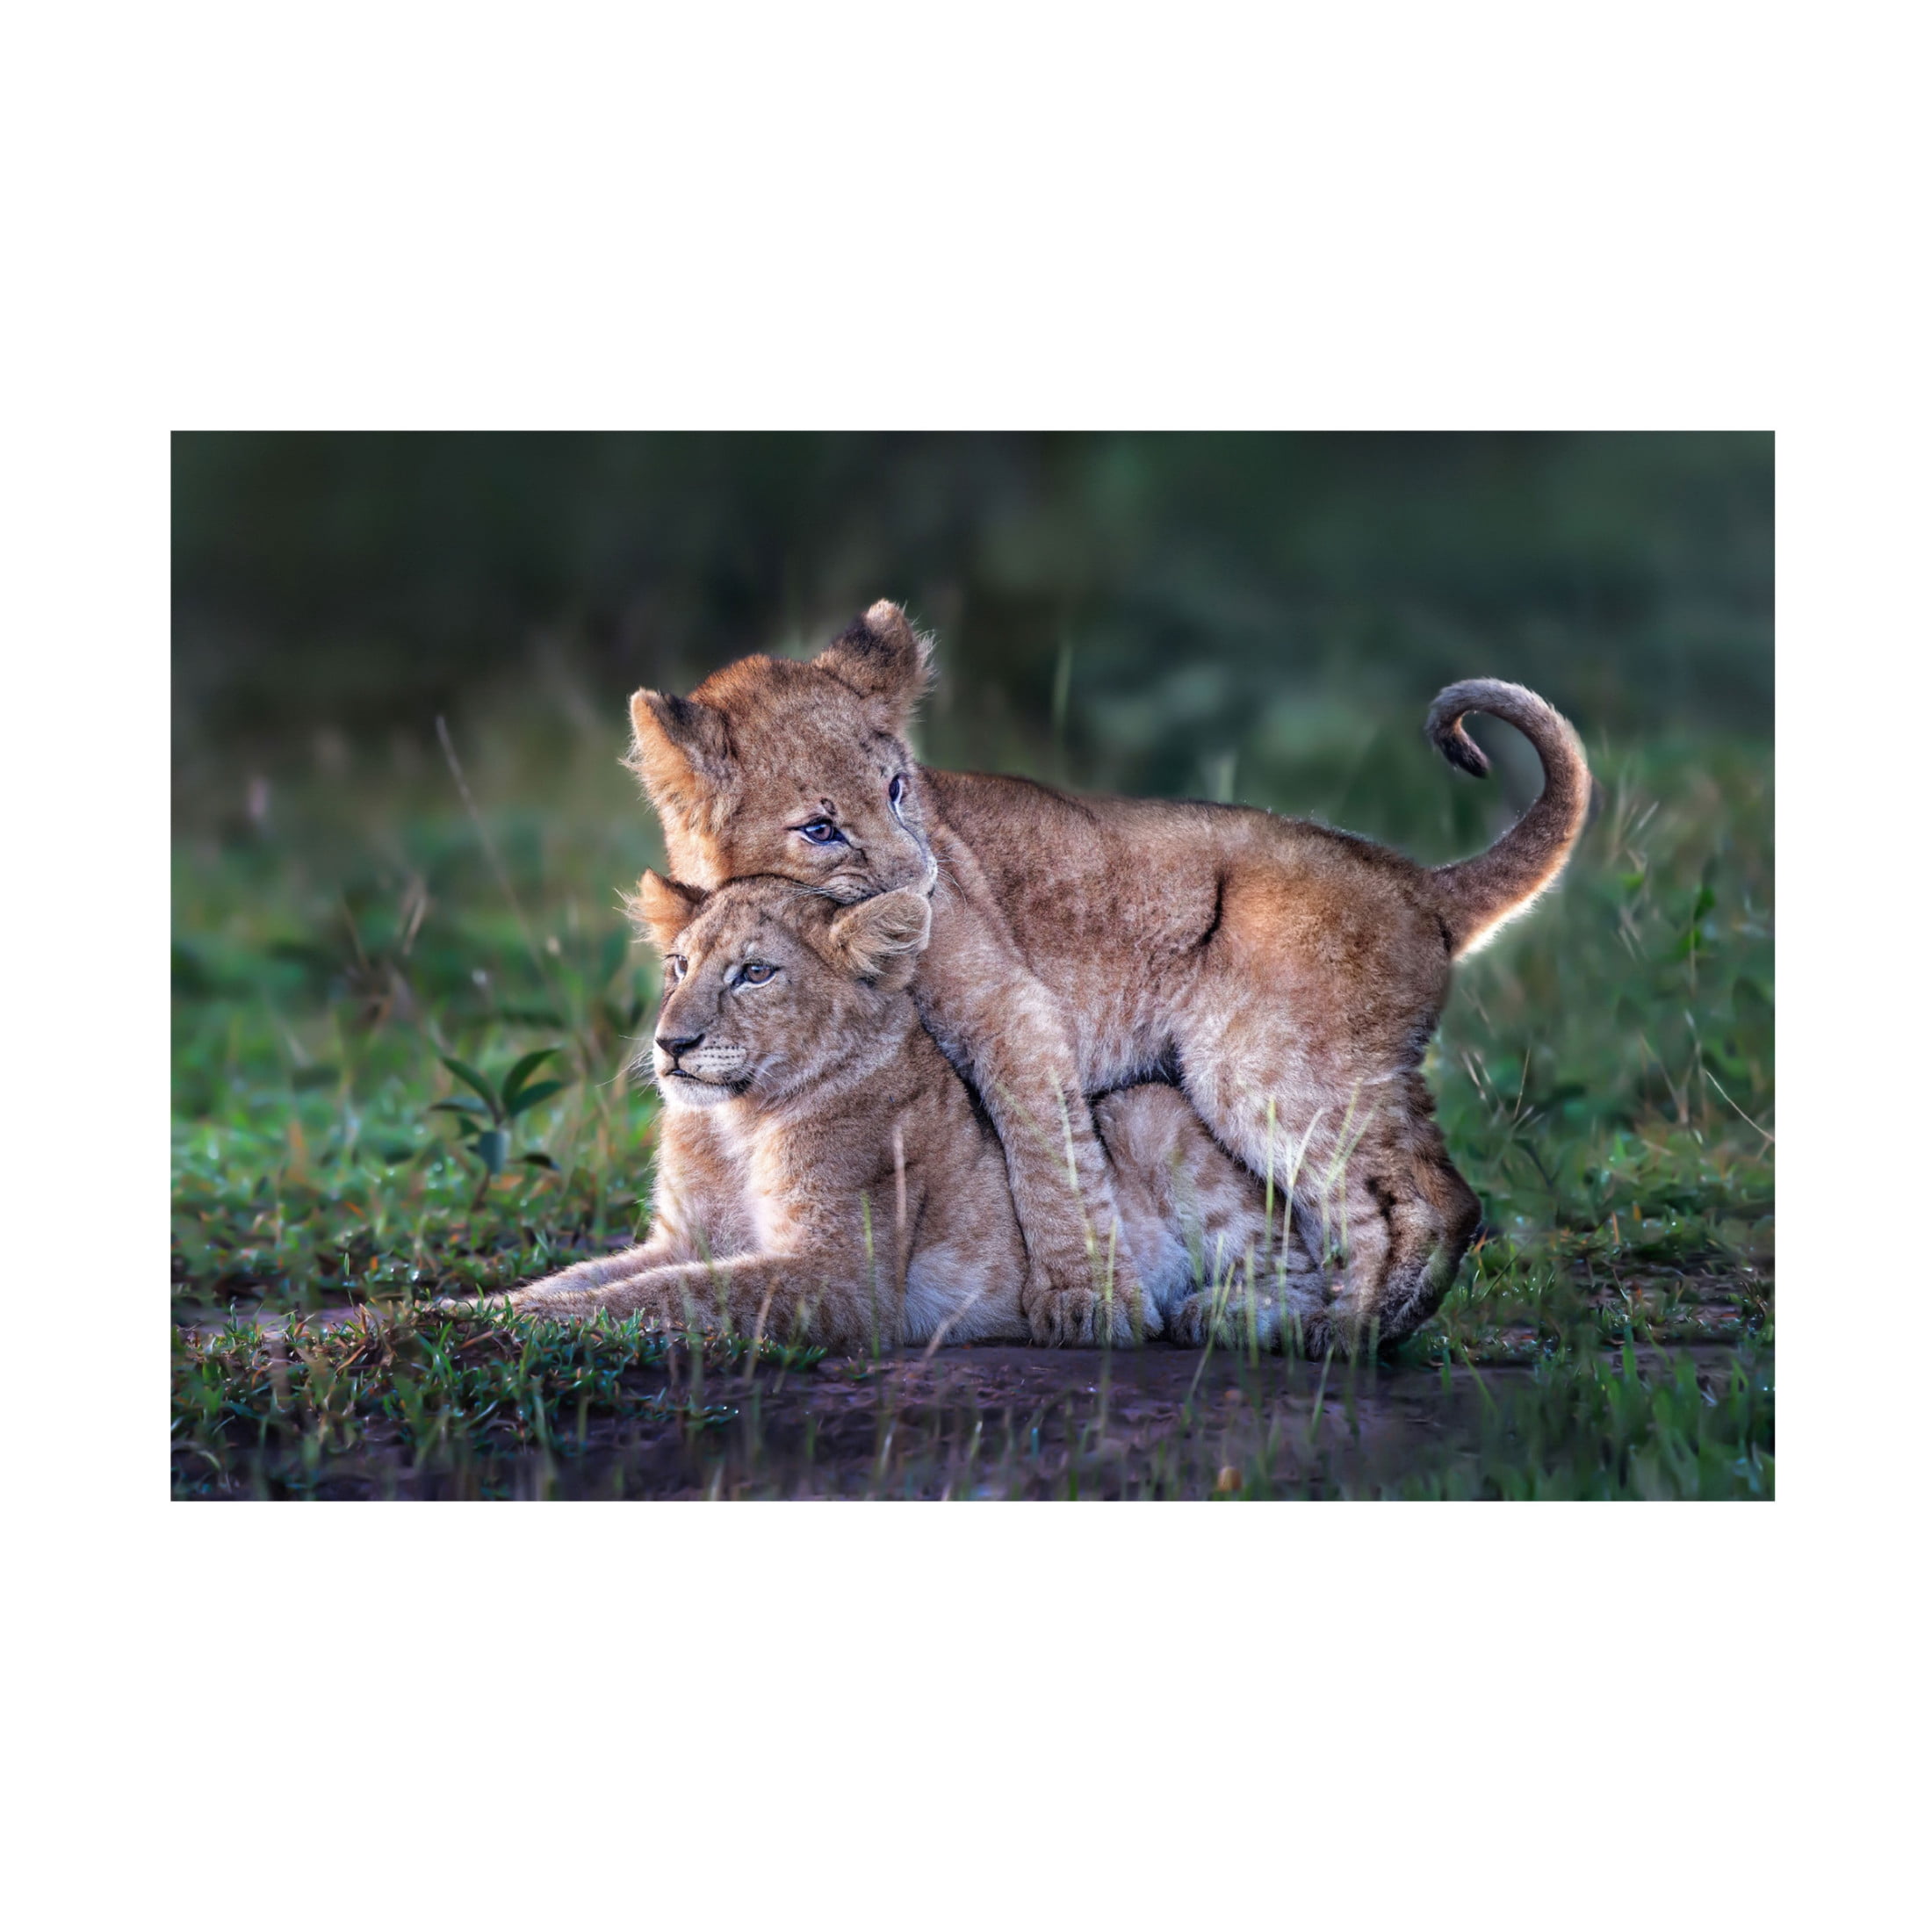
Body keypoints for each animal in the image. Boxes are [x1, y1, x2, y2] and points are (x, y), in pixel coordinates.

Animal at [502, 873, 1325, 1352]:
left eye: (755, 973)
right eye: (678, 966)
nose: (671, 1043)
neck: (736, 1122)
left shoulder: (840, 1279)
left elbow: (672, 1293)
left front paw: (524, 1324)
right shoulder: (683, 1238)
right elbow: (589, 1278)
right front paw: (487, 1307)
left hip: (1146, 1107)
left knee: (1307, 1273)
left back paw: (1220, 1315)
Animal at [624, 601, 1591, 1352]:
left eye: (899, 789)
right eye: (819, 828)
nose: (924, 884)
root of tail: (1415, 879)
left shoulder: (1011, 1008)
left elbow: (1047, 1153)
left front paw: (1085, 1302)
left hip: (1265, 1068)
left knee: (1428, 1201)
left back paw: (1342, 1333)